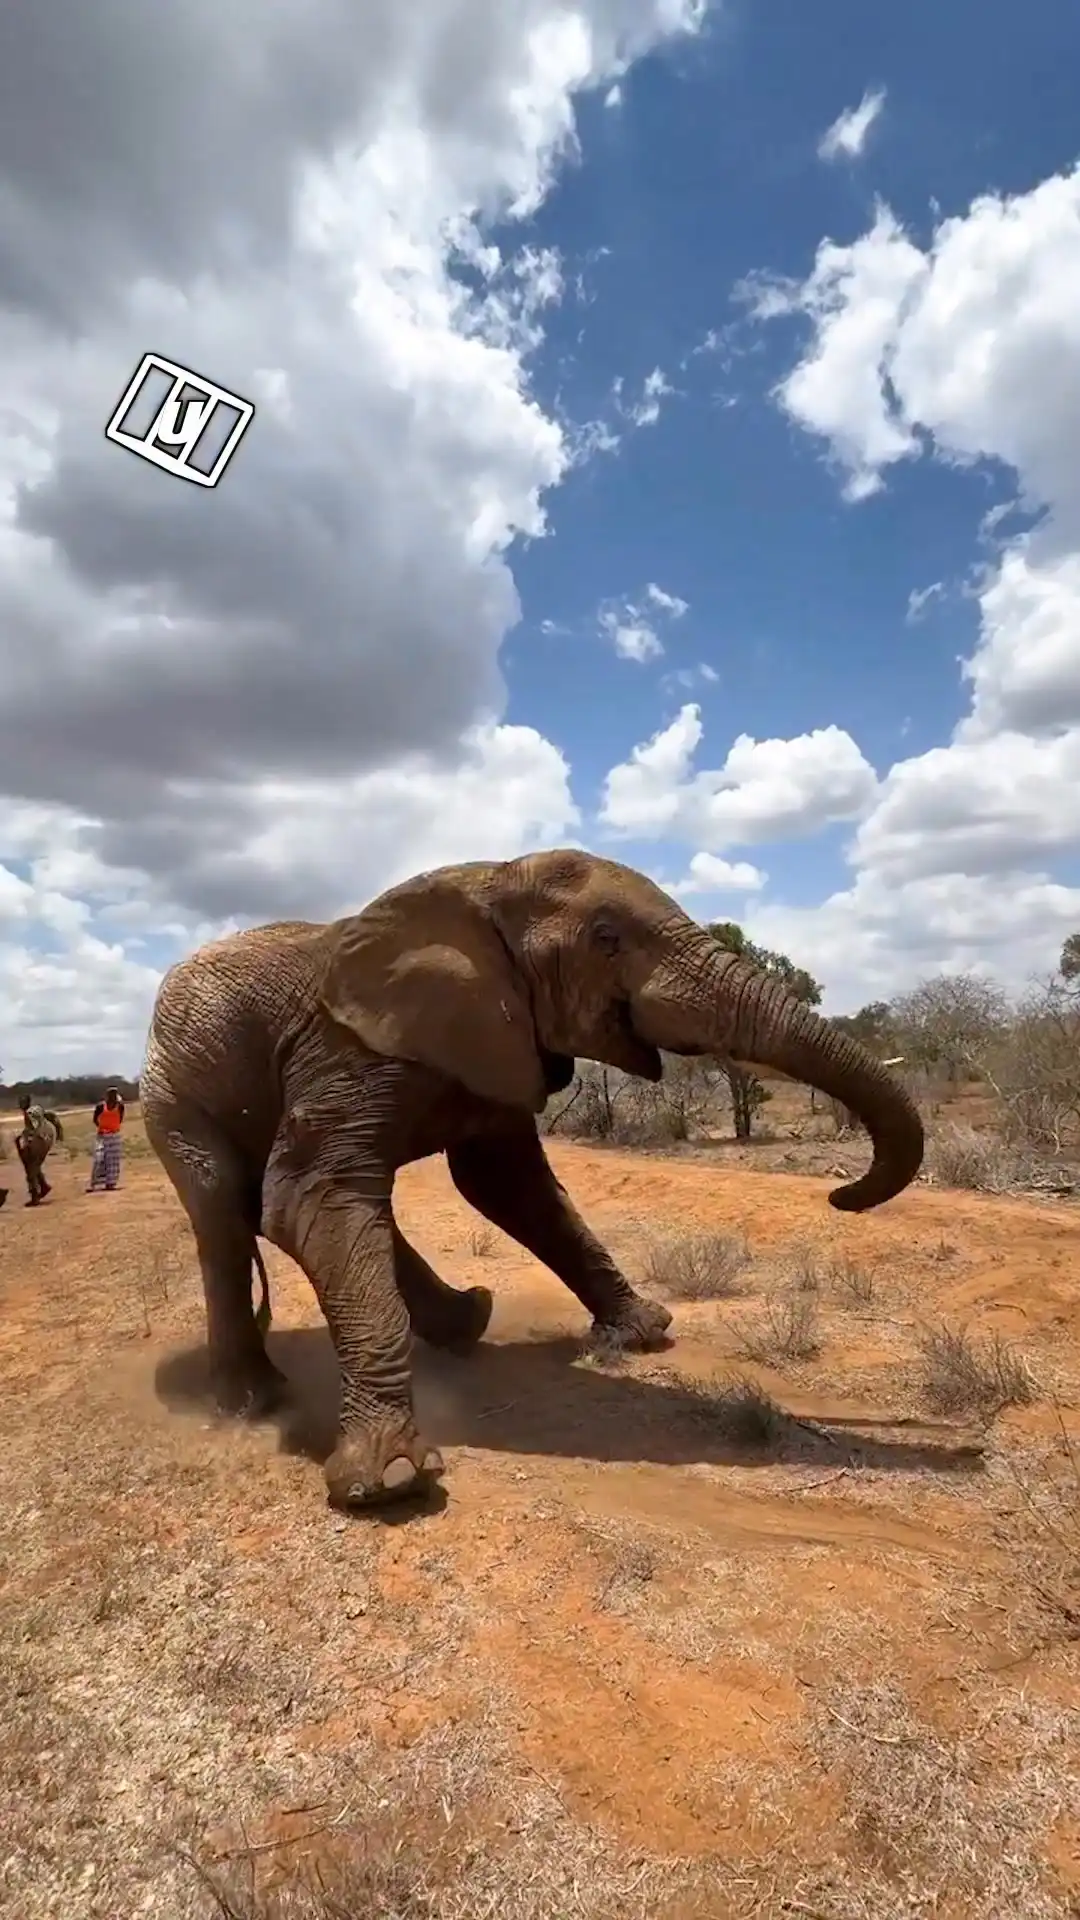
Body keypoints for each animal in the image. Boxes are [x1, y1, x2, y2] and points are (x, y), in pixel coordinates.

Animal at [141, 849, 923, 1512]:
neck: (486, 879)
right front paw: (387, 1483)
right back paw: (252, 1402)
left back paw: (466, 1322)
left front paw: (642, 1333)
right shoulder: (345, 1050)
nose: (841, 1193)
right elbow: (310, 1194)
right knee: (225, 1208)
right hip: (174, 1090)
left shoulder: (496, 1033)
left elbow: (505, 1183)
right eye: (606, 938)